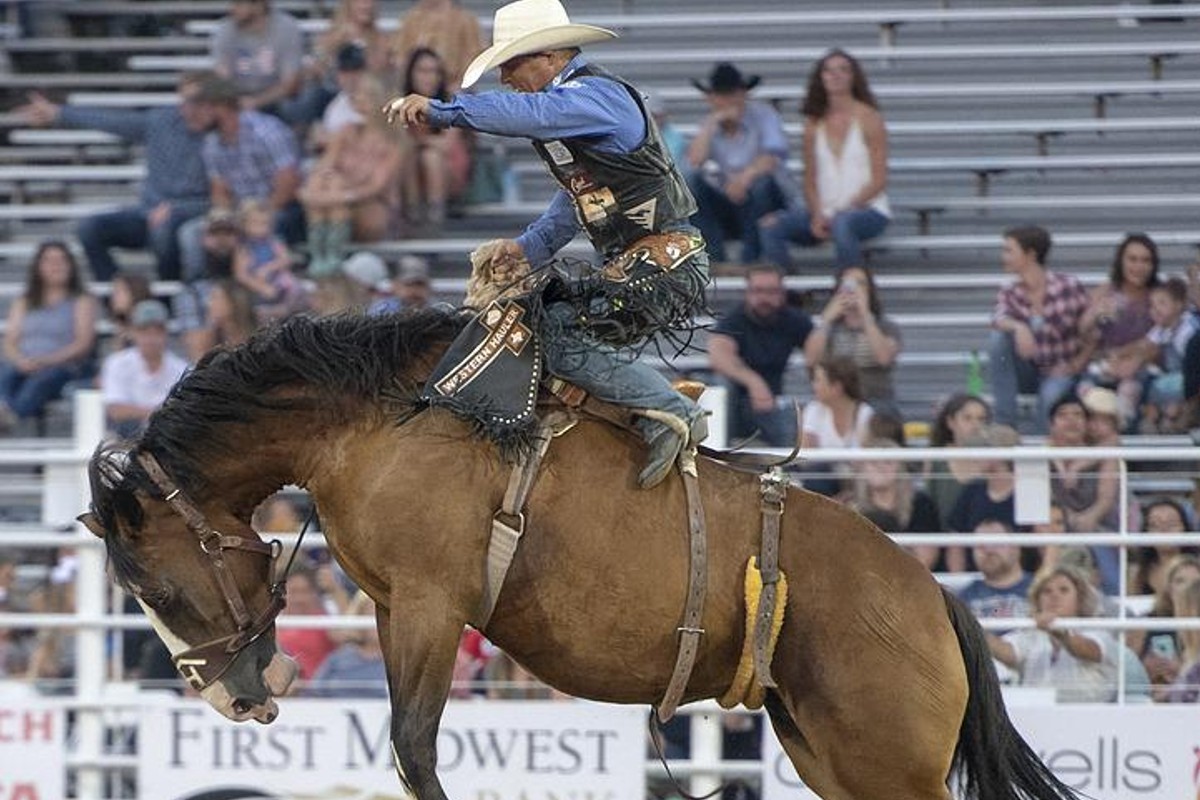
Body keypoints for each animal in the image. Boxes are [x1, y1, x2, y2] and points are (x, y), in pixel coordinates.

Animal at [82, 311, 1080, 800]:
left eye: (163, 586)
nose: (232, 699)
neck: (375, 420)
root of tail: (931, 597)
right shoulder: (396, 607)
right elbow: (409, 750)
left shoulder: (434, 604)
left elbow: (416, 750)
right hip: (832, 755)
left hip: (889, 762)